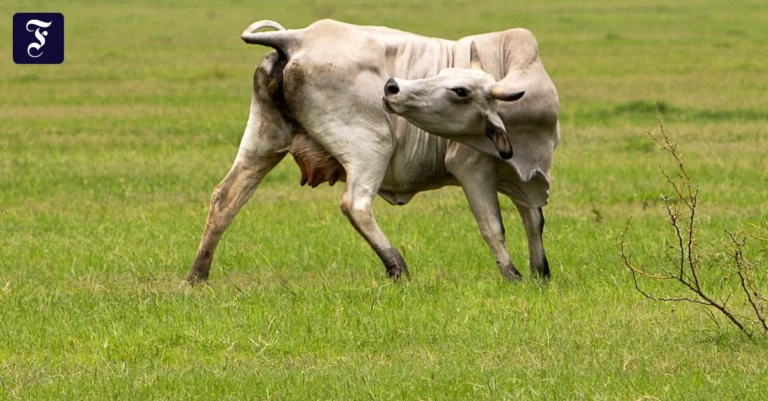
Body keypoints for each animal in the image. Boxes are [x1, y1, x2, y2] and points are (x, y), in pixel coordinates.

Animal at [187, 19, 559, 283]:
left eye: (459, 89)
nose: (393, 86)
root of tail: (297, 39)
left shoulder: (526, 176)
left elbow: (534, 221)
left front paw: (541, 273)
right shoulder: (472, 169)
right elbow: (492, 225)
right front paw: (512, 275)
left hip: (262, 143)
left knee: (225, 198)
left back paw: (197, 275)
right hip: (372, 149)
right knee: (356, 204)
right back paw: (397, 267)